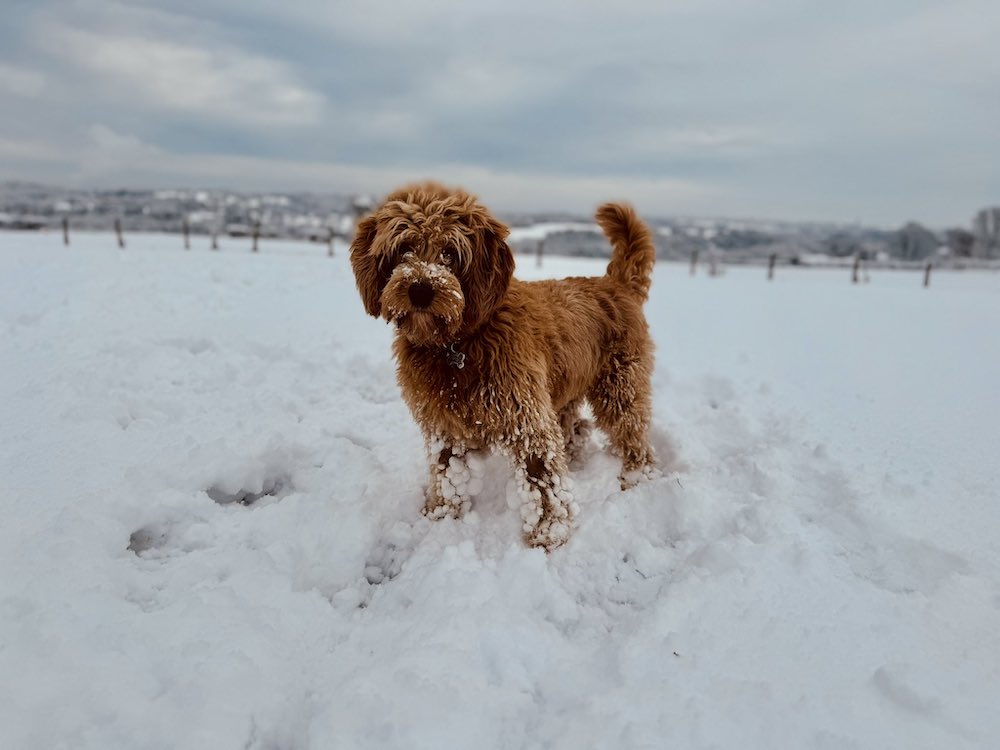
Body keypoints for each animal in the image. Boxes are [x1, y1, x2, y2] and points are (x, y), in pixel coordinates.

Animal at [352, 182, 656, 552]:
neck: (457, 344)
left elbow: (542, 477)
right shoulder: (443, 425)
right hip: (564, 389)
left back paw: (636, 477)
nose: (420, 290)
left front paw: (549, 533)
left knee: (634, 435)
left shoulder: (526, 418)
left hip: (620, 387)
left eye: (450, 252)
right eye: (403, 248)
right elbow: (448, 472)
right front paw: (442, 514)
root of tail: (616, 283)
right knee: (577, 428)